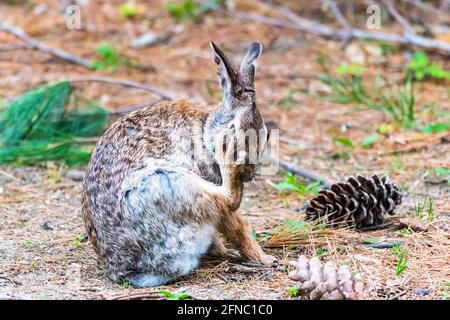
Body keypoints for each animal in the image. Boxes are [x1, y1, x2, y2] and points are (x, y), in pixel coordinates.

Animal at [82, 40, 276, 288]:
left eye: (266, 135)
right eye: (235, 131)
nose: (248, 172)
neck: (207, 130)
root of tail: (126, 270)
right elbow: (236, 227)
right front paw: (264, 258)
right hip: (170, 183)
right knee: (228, 199)